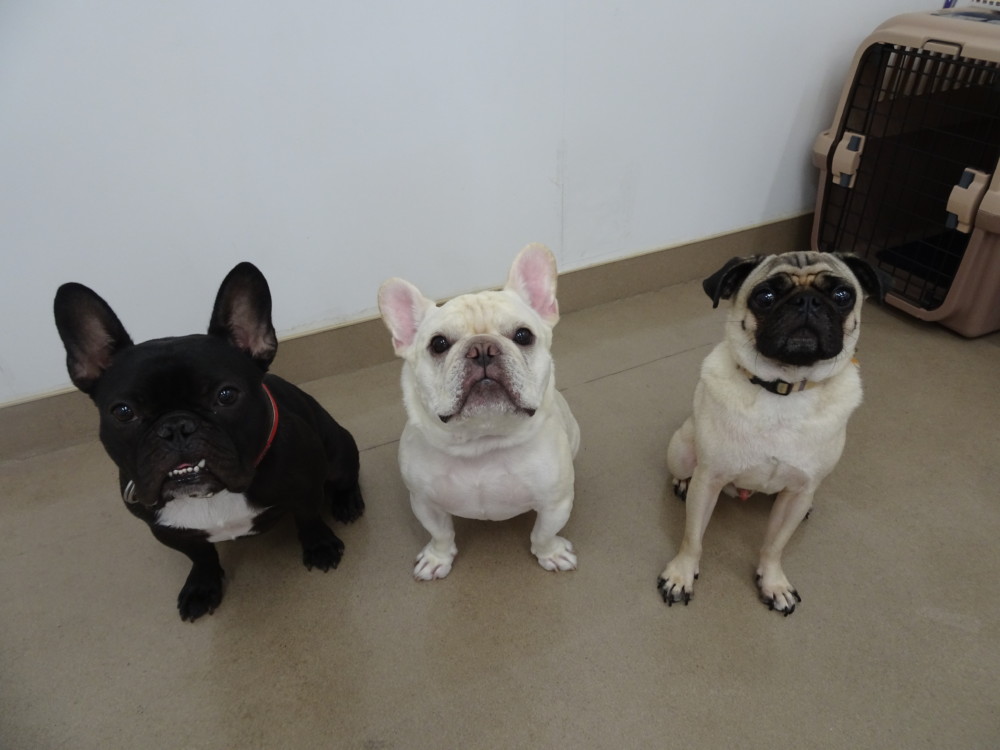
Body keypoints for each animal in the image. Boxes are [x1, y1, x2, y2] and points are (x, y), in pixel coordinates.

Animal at [53, 262, 364, 621]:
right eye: (123, 412)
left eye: (226, 395)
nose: (176, 426)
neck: (212, 495)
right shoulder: (168, 530)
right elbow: (200, 555)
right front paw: (202, 587)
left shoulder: (306, 489)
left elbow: (309, 519)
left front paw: (321, 546)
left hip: (338, 451)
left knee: (345, 477)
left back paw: (347, 503)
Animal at [378, 243, 580, 580]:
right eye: (438, 344)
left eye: (523, 336)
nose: (482, 348)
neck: (482, 443)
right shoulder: (424, 503)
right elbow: (441, 533)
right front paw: (438, 558)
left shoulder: (555, 503)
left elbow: (543, 533)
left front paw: (549, 553)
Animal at [657, 251, 886, 615]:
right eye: (764, 297)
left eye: (842, 296)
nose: (806, 301)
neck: (784, 390)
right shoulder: (708, 481)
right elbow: (693, 537)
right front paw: (680, 575)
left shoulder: (797, 493)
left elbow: (774, 545)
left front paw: (773, 582)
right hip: (681, 449)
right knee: (683, 468)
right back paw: (682, 482)